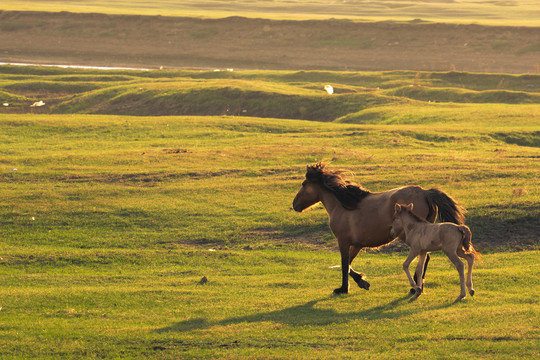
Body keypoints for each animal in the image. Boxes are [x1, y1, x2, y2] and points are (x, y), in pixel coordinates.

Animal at [294, 162, 466, 294]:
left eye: (303, 184)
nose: (294, 204)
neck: (343, 205)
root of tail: (425, 192)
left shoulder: (343, 241)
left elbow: (344, 263)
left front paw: (343, 289)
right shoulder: (357, 244)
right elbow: (348, 263)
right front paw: (362, 281)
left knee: (424, 258)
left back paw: (416, 288)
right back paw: (418, 287)